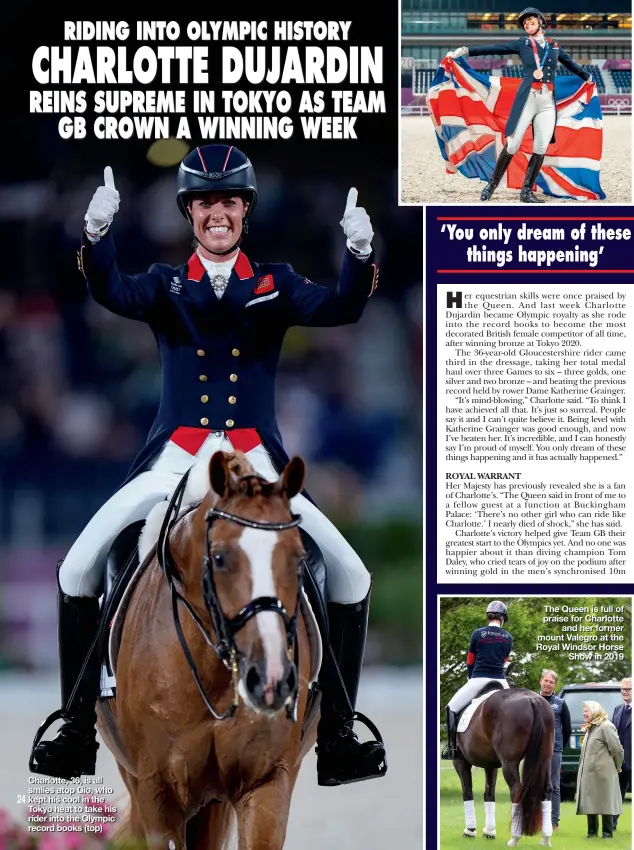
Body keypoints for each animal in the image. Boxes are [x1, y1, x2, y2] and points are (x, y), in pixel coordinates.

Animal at [452, 684, 552, 844]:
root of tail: (532, 699)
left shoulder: (461, 762)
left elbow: (467, 792)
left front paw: (470, 830)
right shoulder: (490, 765)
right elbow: (489, 794)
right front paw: (489, 832)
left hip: (509, 763)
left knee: (517, 790)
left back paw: (514, 839)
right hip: (545, 759)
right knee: (547, 789)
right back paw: (546, 839)